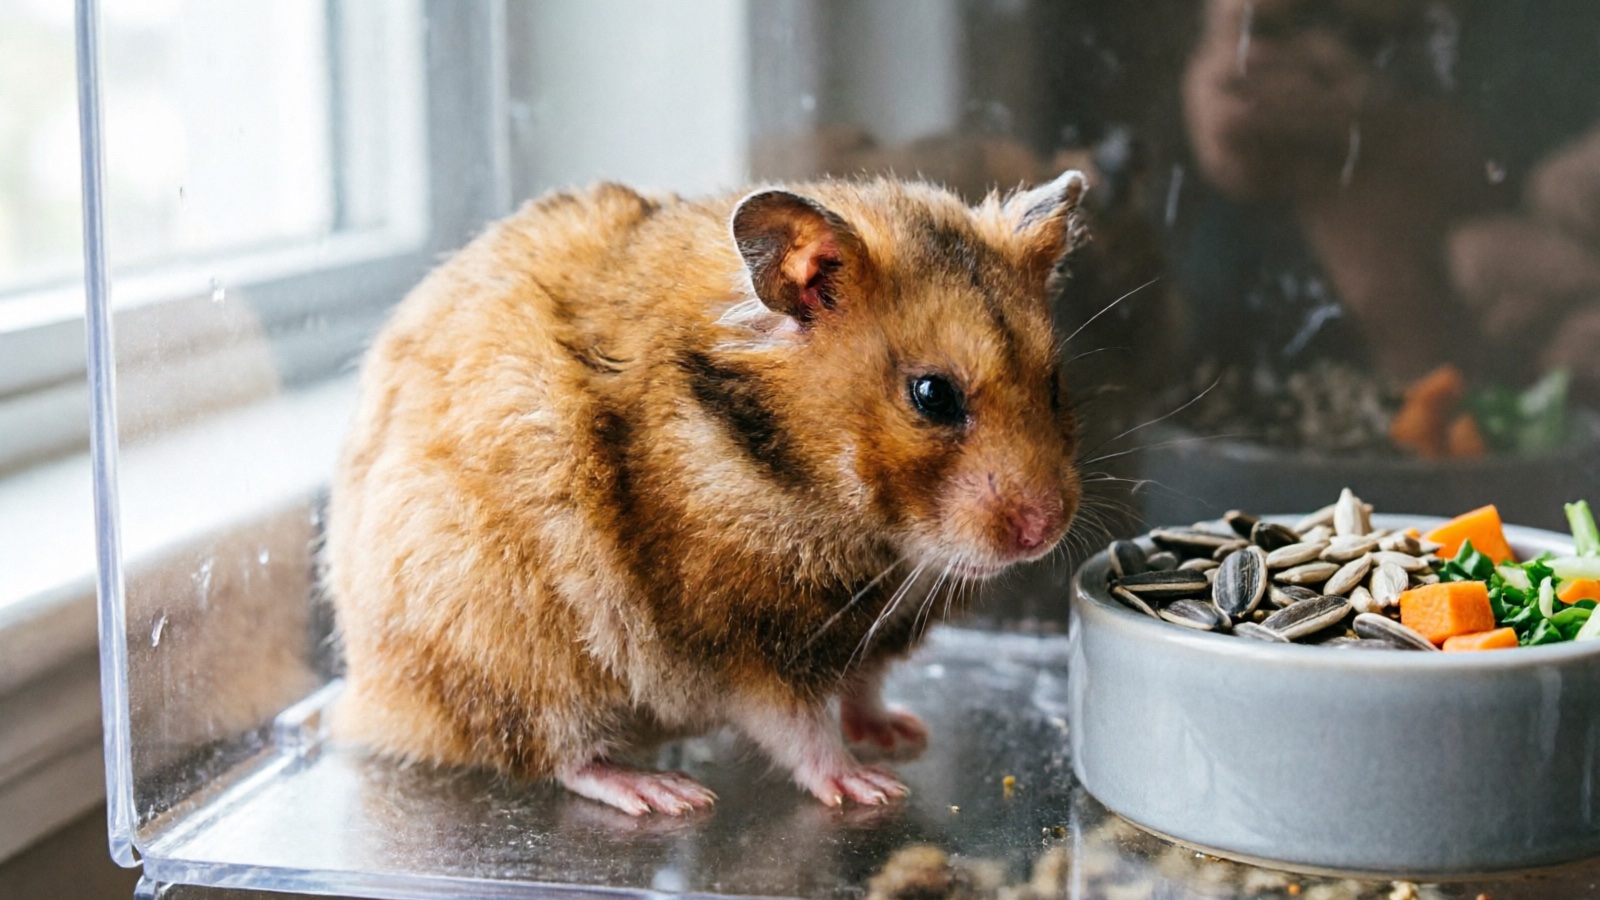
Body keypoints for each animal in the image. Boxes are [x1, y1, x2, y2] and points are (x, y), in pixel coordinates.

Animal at [324, 171, 1088, 816]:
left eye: (1055, 385)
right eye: (932, 395)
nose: (1044, 531)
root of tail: (367, 697)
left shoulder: (865, 634)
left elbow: (863, 686)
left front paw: (903, 735)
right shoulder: (737, 639)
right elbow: (796, 726)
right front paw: (870, 787)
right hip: (518, 653)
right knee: (557, 751)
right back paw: (665, 794)